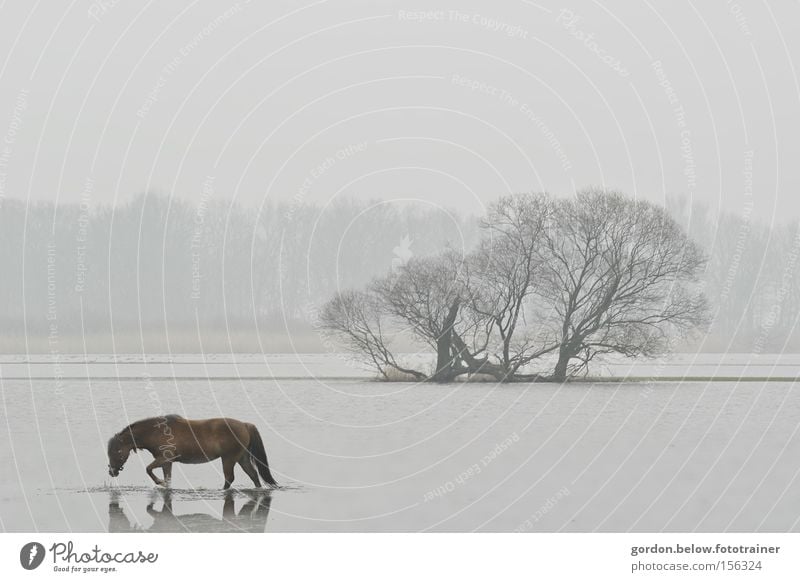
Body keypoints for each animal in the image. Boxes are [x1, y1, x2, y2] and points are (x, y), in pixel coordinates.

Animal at [107, 416, 278, 492]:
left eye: (117, 451)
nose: (112, 471)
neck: (156, 432)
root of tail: (245, 425)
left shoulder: (164, 458)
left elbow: (148, 469)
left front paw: (159, 482)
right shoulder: (167, 462)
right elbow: (167, 477)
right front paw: (165, 485)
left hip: (229, 458)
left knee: (230, 478)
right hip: (241, 457)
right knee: (253, 474)